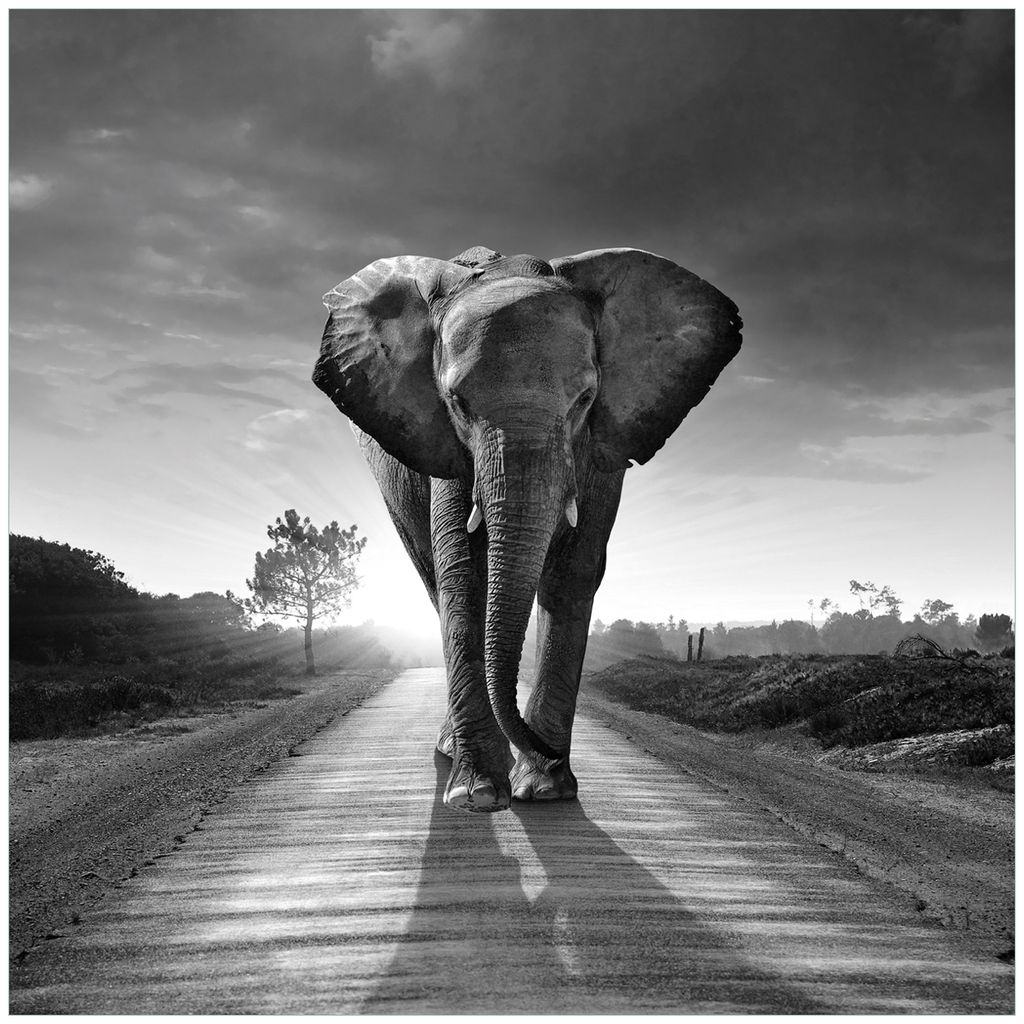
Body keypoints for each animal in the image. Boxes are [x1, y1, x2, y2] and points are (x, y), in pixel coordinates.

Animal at [313, 245, 741, 813]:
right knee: (433, 581)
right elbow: (463, 574)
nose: (549, 753)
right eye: (457, 402)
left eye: (585, 399)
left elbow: (574, 572)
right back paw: (453, 752)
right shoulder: (446, 448)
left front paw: (545, 789)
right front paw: (478, 795)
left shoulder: (601, 446)